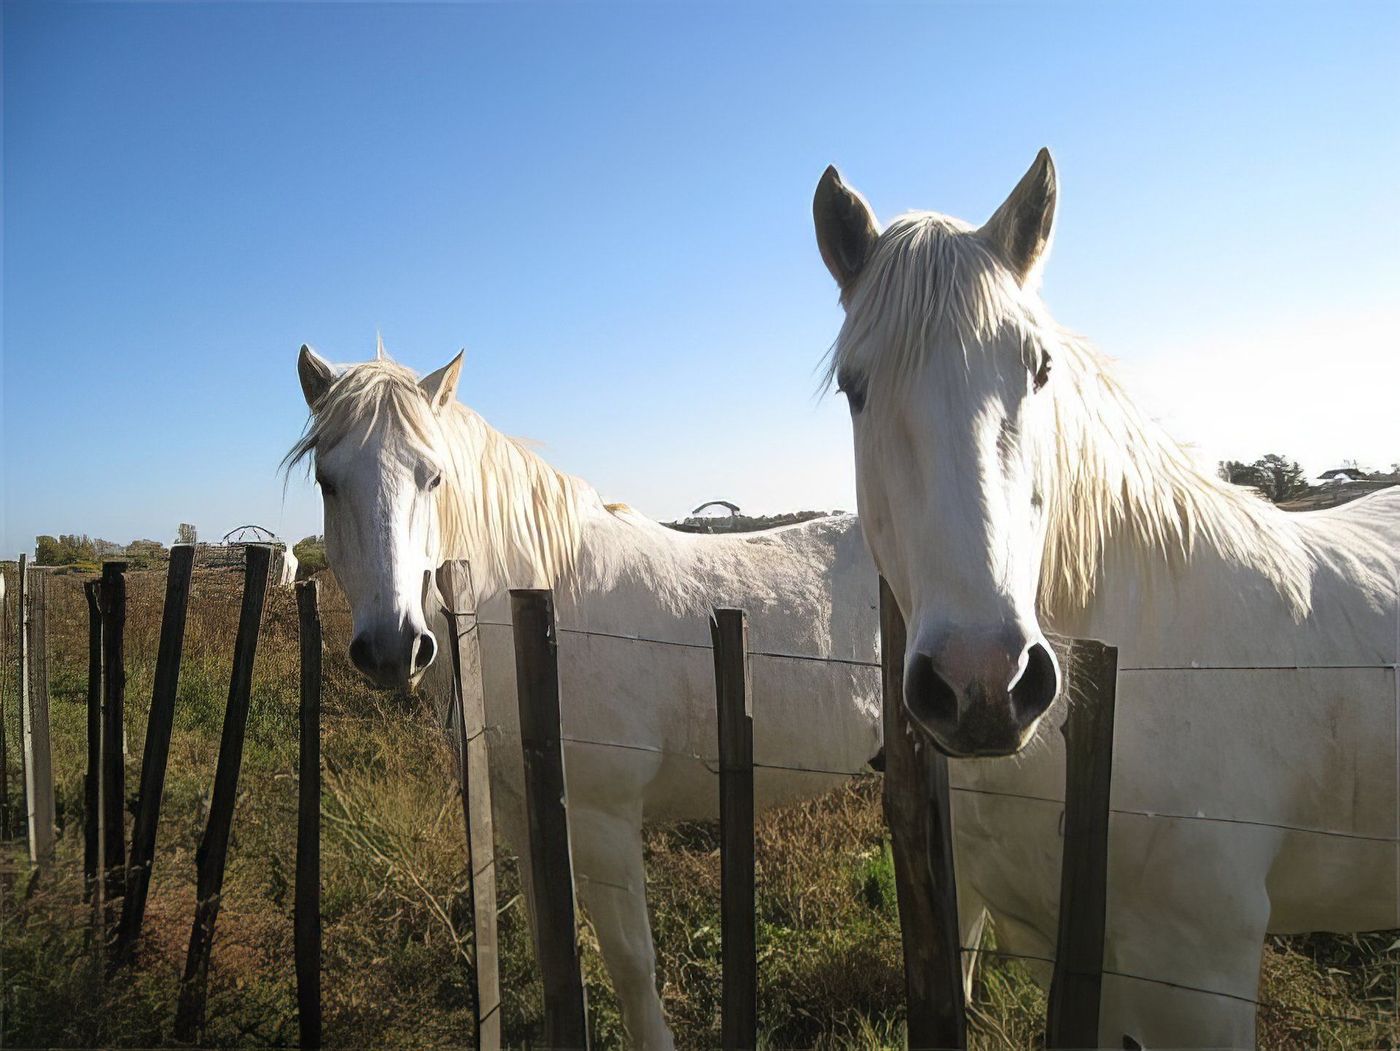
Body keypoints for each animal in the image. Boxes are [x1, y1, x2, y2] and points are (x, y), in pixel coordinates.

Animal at [286, 344, 884, 1048]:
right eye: (328, 481)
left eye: (433, 477)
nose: (393, 646)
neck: (543, 604)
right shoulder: (521, 810)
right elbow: (551, 942)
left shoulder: (605, 820)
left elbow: (630, 964)